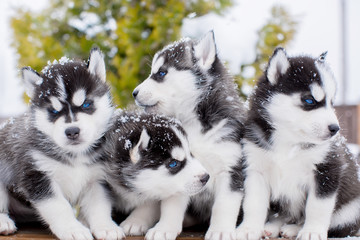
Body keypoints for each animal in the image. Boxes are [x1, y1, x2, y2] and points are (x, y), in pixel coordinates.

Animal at [0, 48, 125, 240]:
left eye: (86, 104)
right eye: (54, 111)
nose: (72, 131)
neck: (75, 155)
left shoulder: (98, 178)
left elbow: (99, 205)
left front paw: (106, 227)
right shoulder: (37, 175)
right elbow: (59, 207)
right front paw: (73, 230)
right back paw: (3, 222)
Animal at [133, 31, 248, 239]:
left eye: (161, 73)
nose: (134, 93)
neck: (193, 124)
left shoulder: (230, 168)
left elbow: (224, 205)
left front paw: (220, 230)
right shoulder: (180, 170)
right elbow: (171, 204)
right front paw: (165, 228)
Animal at [236, 47, 360, 240]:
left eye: (331, 102)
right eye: (309, 100)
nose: (335, 128)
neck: (289, 141)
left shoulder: (326, 171)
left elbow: (316, 208)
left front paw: (312, 231)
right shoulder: (256, 168)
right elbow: (253, 203)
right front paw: (249, 228)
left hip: (351, 210)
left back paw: (294, 229)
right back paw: (273, 226)